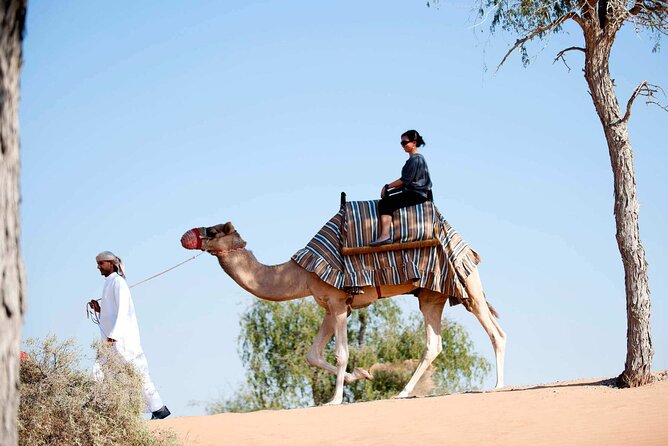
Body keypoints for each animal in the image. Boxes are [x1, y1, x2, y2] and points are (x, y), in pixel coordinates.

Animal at [180, 223, 504, 404]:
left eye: (212, 230)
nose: (186, 236)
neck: (300, 273)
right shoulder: (329, 306)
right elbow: (312, 354)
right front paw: (360, 375)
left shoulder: (337, 301)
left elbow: (340, 354)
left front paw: (335, 400)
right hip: (431, 295)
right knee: (433, 344)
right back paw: (402, 392)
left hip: (467, 281)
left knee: (495, 331)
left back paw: (498, 386)